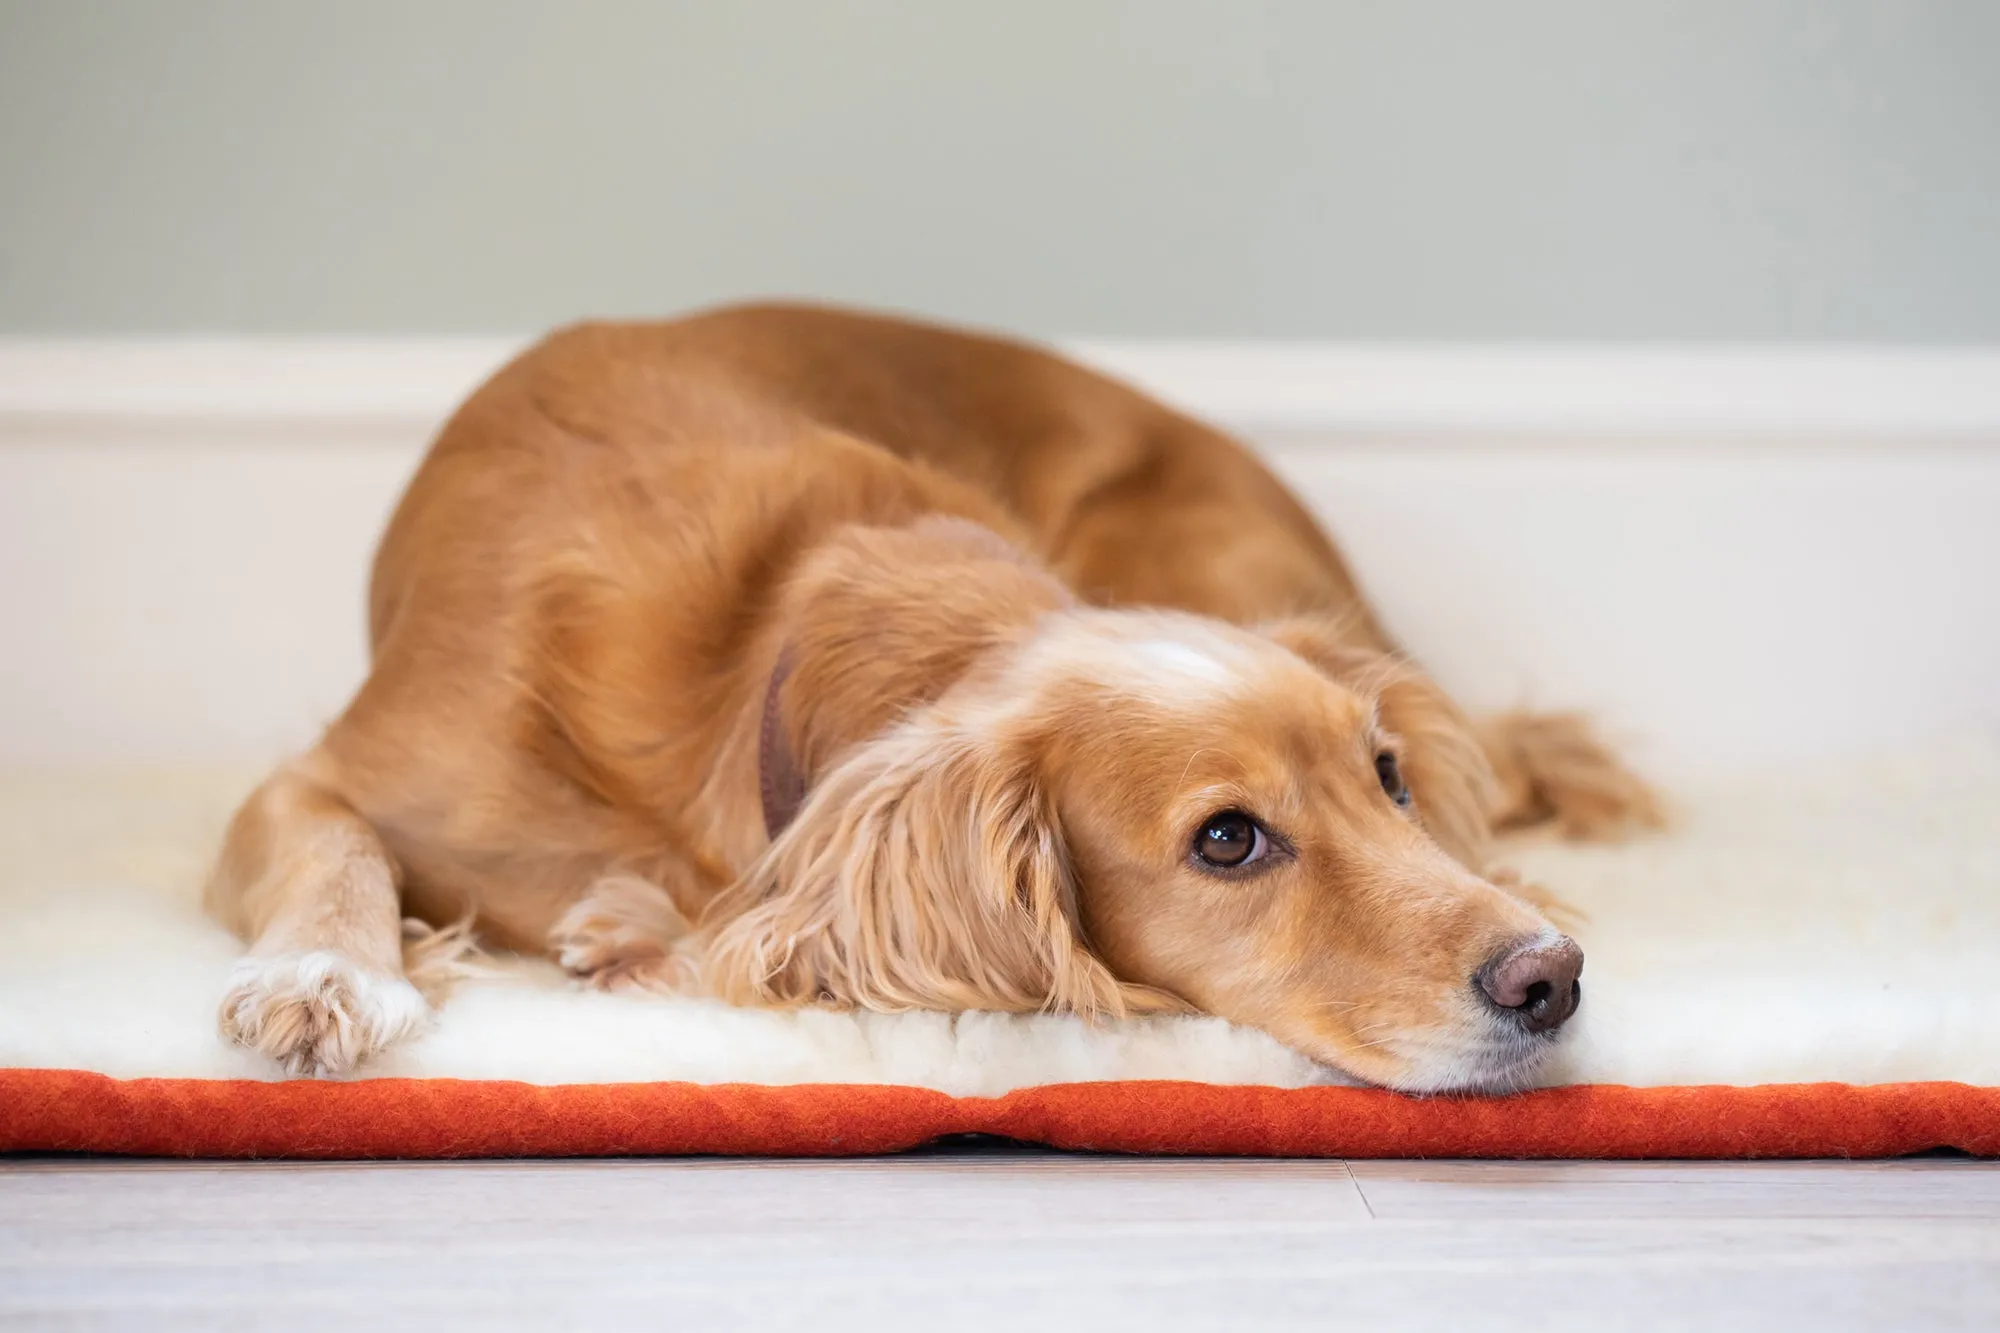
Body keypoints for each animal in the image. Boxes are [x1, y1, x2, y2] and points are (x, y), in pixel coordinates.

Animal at [211, 304, 1664, 1088]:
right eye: (1227, 840)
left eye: (1387, 778)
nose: (1551, 978)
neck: (760, 659)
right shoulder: (330, 774)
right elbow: (332, 844)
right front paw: (326, 972)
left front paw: (638, 934)